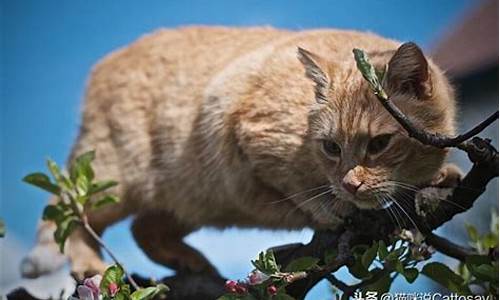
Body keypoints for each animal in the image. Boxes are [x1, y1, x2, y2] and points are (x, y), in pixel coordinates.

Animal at [22, 25, 460, 278]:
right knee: (67, 212)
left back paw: (187, 260)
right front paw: (330, 207)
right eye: (331, 147)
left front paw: (441, 174)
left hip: (194, 198)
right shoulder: (250, 131)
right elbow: (300, 188)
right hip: (112, 177)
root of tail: (105, 62)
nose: (350, 185)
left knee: (144, 227)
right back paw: (88, 266)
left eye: (380, 144)